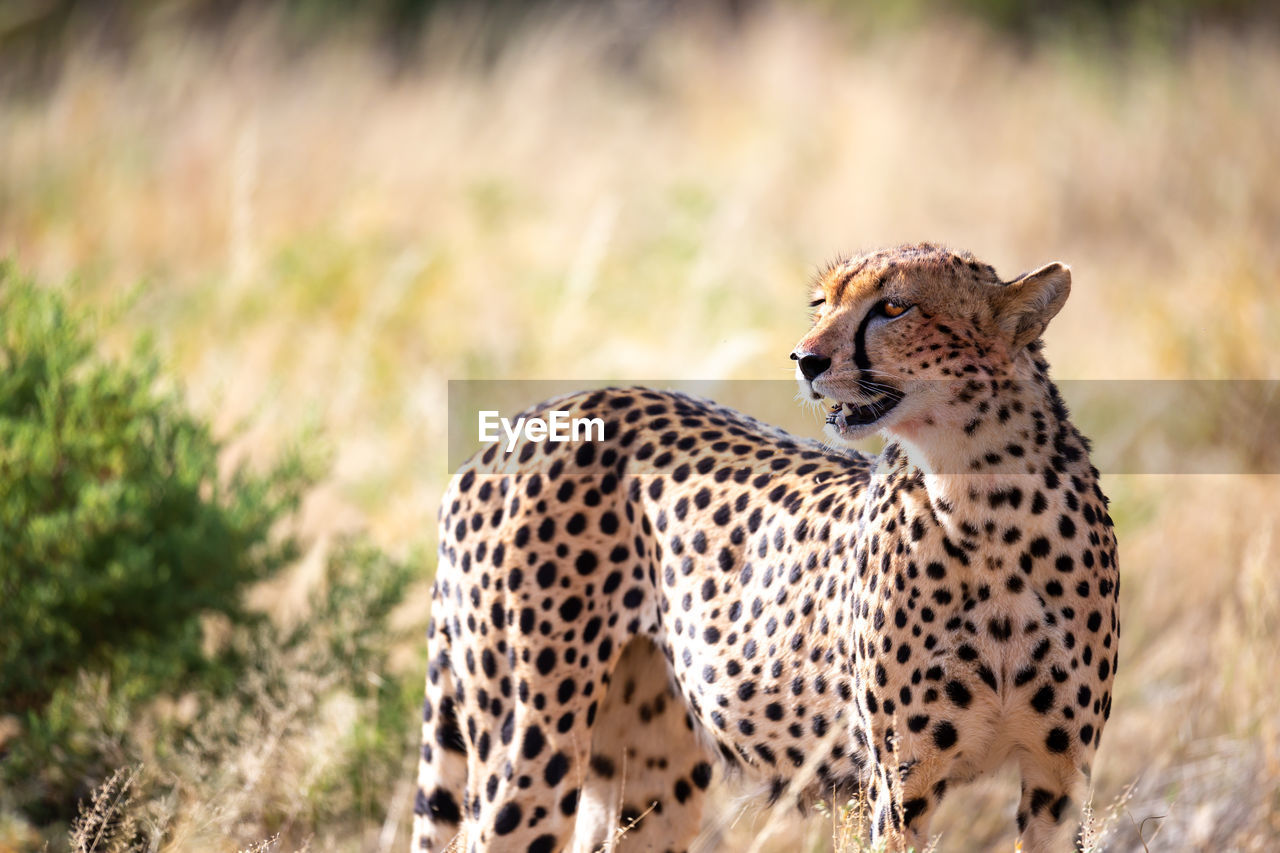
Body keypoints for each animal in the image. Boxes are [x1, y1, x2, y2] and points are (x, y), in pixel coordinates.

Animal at [412, 242, 1121, 850]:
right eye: (821, 302)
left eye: (894, 307)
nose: (805, 361)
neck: (987, 501)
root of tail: (525, 422)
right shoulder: (899, 785)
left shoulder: (1060, 778)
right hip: (532, 743)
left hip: (651, 773)